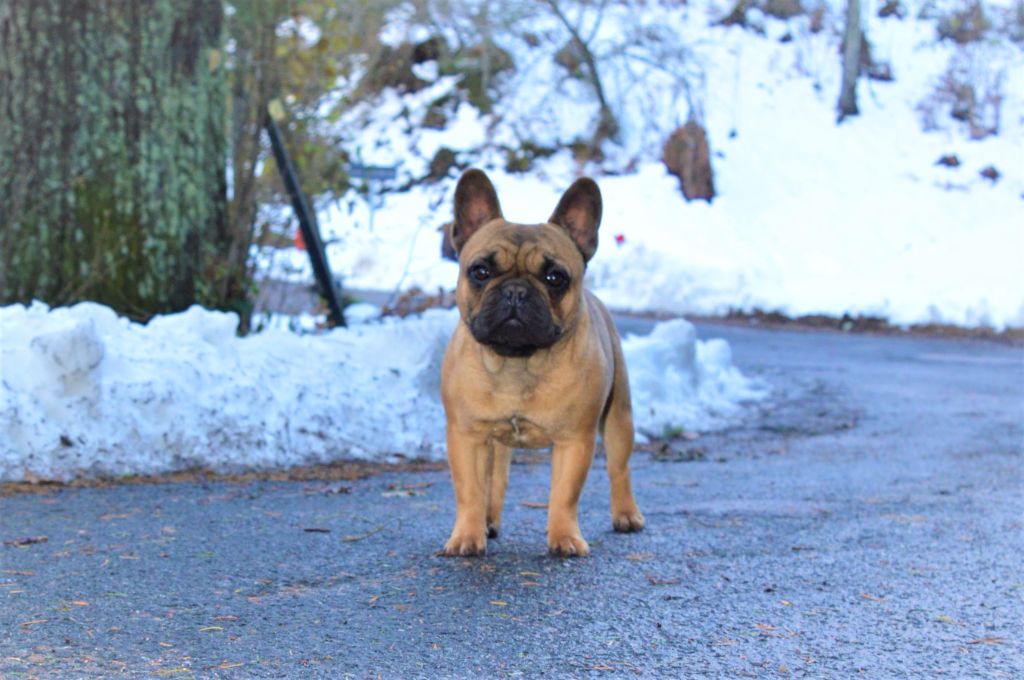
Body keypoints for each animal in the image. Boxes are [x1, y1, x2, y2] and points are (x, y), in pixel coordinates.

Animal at [438, 166, 638, 557]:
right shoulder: (466, 437)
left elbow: (565, 493)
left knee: (619, 467)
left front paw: (564, 537)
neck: (518, 362)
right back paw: (488, 522)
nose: (516, 291)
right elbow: (470, 490)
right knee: (495, 478)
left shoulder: (575, 441)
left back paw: (626, 515)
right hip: (494, 442)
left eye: (555, 277)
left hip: (619, 416)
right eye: (480, 271)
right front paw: (467, 535)